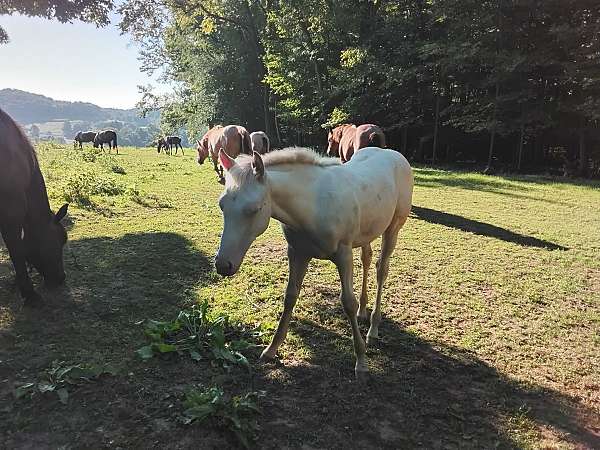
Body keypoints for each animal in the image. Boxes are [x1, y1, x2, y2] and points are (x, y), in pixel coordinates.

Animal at [214, 148, 412, 380]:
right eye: (222, 205)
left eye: (254, 209)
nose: (223, 265)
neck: (312, 204)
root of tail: (393, 154)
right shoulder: (297, 253)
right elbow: (290, 296)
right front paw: (271, 349)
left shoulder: (343, 254)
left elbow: (348, 302)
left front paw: (361, 362)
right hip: (367, 231)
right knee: (367, 259)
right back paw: (364, 311)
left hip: (393, 228)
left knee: (381, 269)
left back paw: (373, 329)